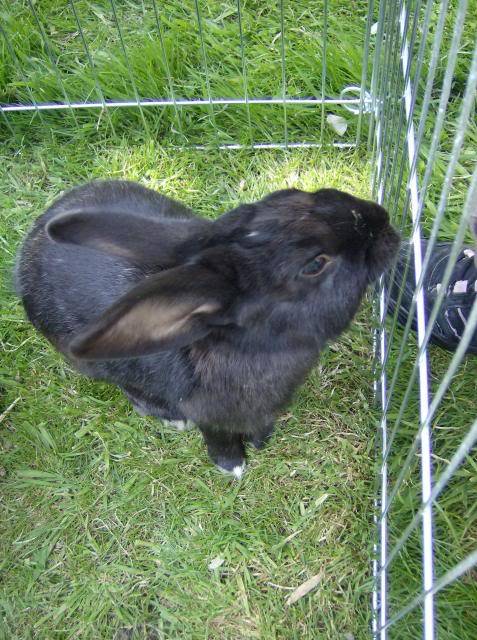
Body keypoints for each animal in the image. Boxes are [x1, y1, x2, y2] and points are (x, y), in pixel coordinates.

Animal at [15, 179, 398, 476]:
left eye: (296, 193)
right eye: (315, 264)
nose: (383, 220)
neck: (259, 346)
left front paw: (262, 440)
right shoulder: (208, 415)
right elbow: (218, 437)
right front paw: (232, 466)